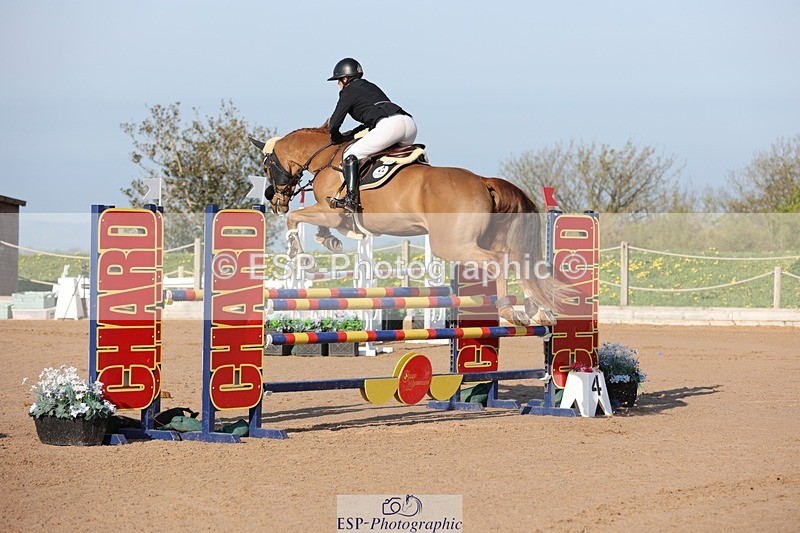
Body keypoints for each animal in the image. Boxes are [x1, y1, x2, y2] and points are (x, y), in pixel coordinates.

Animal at [250, 124, 558, 326]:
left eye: (266, 167)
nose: (275, 201)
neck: (327, 157)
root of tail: (484, 181)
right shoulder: (332, 216)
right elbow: (317, 226)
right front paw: (330, 241)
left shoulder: (330, 212)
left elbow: (295, 219)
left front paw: (301, 255)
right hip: (483, 239)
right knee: (520, 261)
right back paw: (539, 311)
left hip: (452, 245)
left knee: (500, 260)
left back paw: (509, 311)